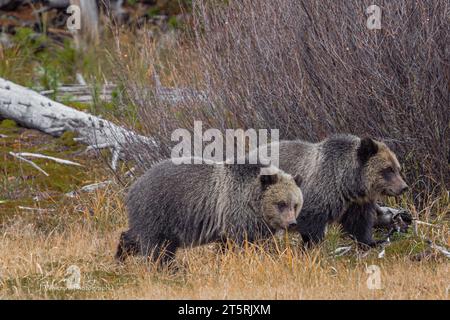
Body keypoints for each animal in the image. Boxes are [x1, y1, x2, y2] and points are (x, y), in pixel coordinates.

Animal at [118, 159, 304, 264]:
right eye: (281, 203)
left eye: (295, 204)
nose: (292, 223)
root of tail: (133, 187)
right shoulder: (235, 215)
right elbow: (241, 245)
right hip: (159, 210)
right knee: (155, 246)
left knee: (139, 238)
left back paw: (120, 257)